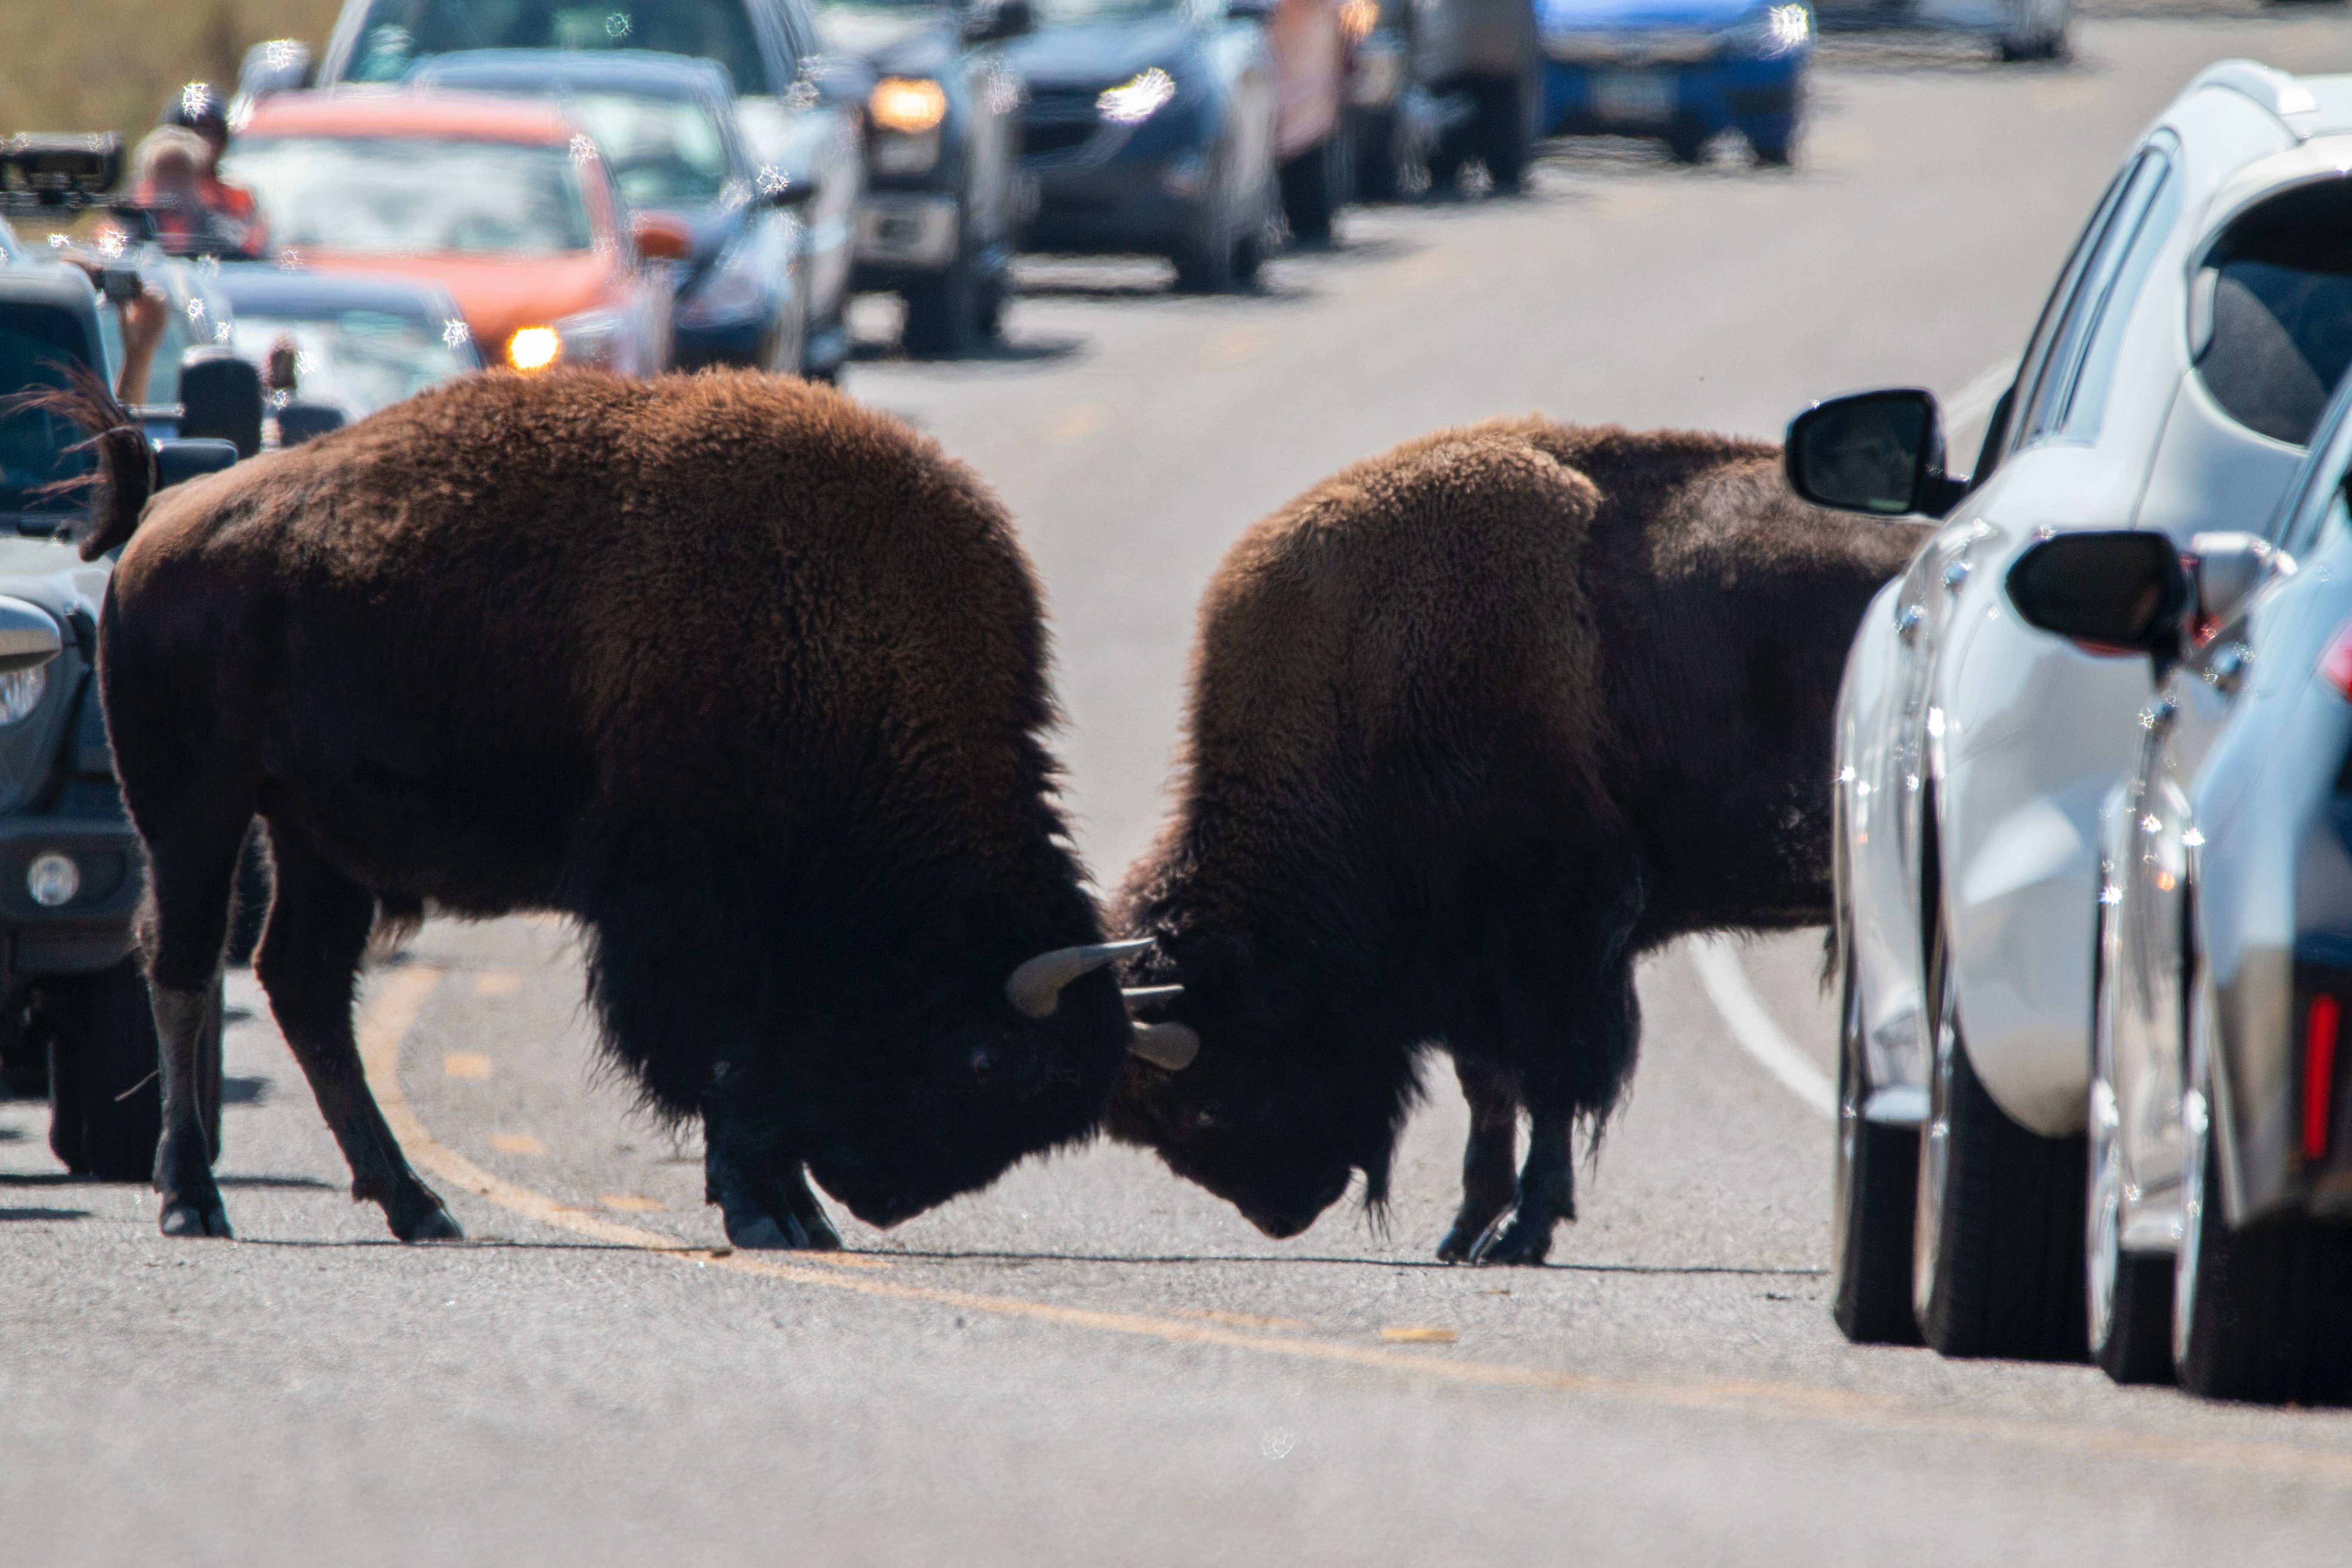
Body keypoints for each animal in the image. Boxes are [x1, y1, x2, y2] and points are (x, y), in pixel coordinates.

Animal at [67, 369, 1176, 1250]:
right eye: (988, 1061)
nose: (884, 1198)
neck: (856, 649)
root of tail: (167, 514)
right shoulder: (688, 903)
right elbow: (724, 1056)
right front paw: (768, 1212)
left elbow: (755, 1062)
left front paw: (797, 1211)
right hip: (193, 812)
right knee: (183, 967)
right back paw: (193, 1200)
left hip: (315, 839)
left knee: (302, 987)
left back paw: (418, 1206)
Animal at [1100, 413, 1929, 1260]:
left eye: (1206, 1101)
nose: (1280, 1212)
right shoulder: (1470, 963)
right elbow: (1489, 1087)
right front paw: (1467, 1228)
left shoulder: (1554, 933)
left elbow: (1552, 1082)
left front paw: (1521, 1230)